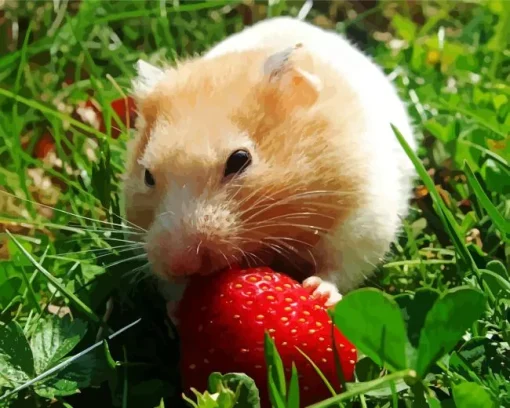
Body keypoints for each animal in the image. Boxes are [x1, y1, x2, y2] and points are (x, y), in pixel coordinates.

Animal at [121, 15, 416, 310]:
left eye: (239, 160)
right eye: (147, 175)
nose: (180, 263)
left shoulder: (364, 220)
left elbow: (339, 268)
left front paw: (316, 292)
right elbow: (173, 290)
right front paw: (179, 307)